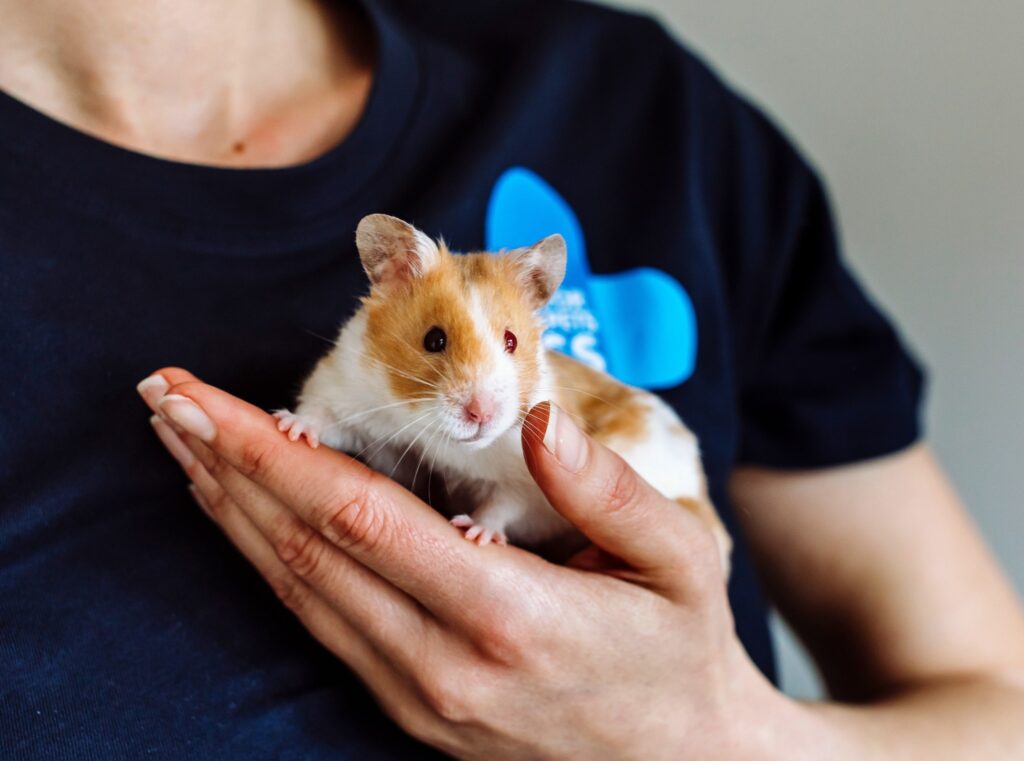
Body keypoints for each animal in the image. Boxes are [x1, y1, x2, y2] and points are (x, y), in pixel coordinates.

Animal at [274, 214, 731, 573]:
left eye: (511, 340)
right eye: (434, 339)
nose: (483, 414)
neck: (441, 440)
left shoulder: (523, 480)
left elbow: (505, 505)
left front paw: (475, 533)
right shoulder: (347, 388)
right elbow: (322, 418)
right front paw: (289, 427)